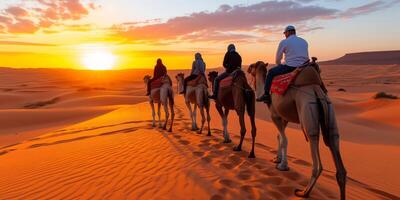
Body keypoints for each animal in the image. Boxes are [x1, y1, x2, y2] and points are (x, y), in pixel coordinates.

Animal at [248, 60, 348, 199]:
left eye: (252, 67)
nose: (247, 68)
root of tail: (315, 89)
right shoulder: (284, 118)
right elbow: (279, 137)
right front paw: (277, 159)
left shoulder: (275, 115)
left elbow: (284, 139)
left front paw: (283, 165)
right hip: (329, 109)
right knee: (334, 140)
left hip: (307, 108)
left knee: (313, 141)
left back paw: (304, 192)